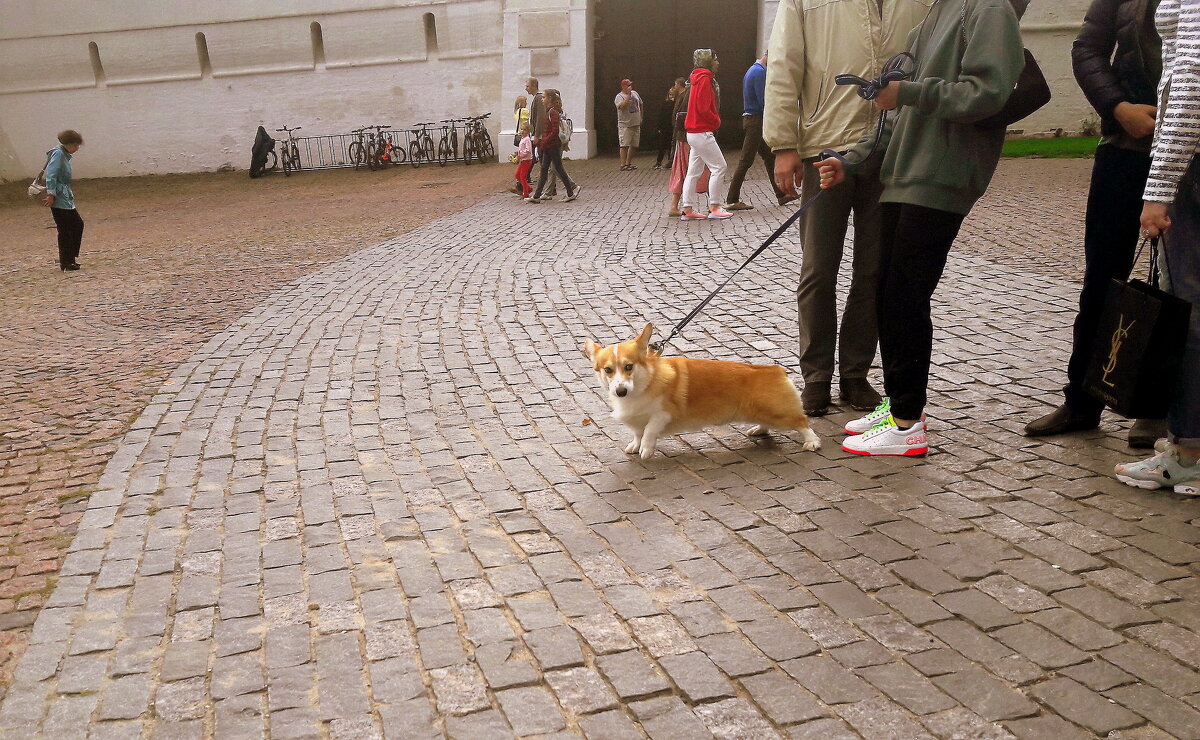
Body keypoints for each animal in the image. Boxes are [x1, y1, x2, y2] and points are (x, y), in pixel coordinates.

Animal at [583, 321, 825, 455]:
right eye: (608, 370)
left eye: (629, 366)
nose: (620, 391)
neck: (645, 383)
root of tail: (776, 369)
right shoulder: (636, 419)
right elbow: (637, 432)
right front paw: (635, 445)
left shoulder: (664, 413)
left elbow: (650, 430)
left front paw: (646, 450)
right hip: (761, 411)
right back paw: (759, 429)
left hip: (778, 412)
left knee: (802, 422)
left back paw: (812, 442)